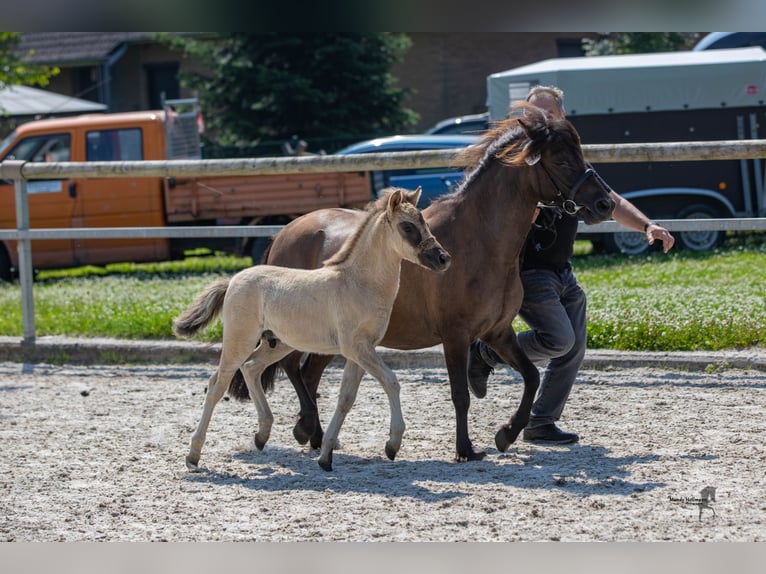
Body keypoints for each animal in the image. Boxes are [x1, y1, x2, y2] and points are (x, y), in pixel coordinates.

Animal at [174, 189, 450, 472]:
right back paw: (193, 455)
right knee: (217, 384)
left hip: (279, 343)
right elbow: (391, 382)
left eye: (425, 223)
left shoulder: (361, 351)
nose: (443, 258)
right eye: (407, 227)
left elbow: (346, 398)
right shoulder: (356, 347)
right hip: (239, 339)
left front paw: (326, 455)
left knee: (251, 368)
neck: (358, 283)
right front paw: (392, 444)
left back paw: (262, 435)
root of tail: (233, 280)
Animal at [231, 102, 616, 464]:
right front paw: (466, 449)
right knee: (291, 369)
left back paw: (315, 436)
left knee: (308, 375)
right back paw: (307, 428)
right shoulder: (455, 335)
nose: (605, 203)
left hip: (331, 341)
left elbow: (532, 376)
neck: (479, 241)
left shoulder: (497, 331)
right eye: (560, 158)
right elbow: (460, 394)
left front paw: (506, 434)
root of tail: (284, 234)